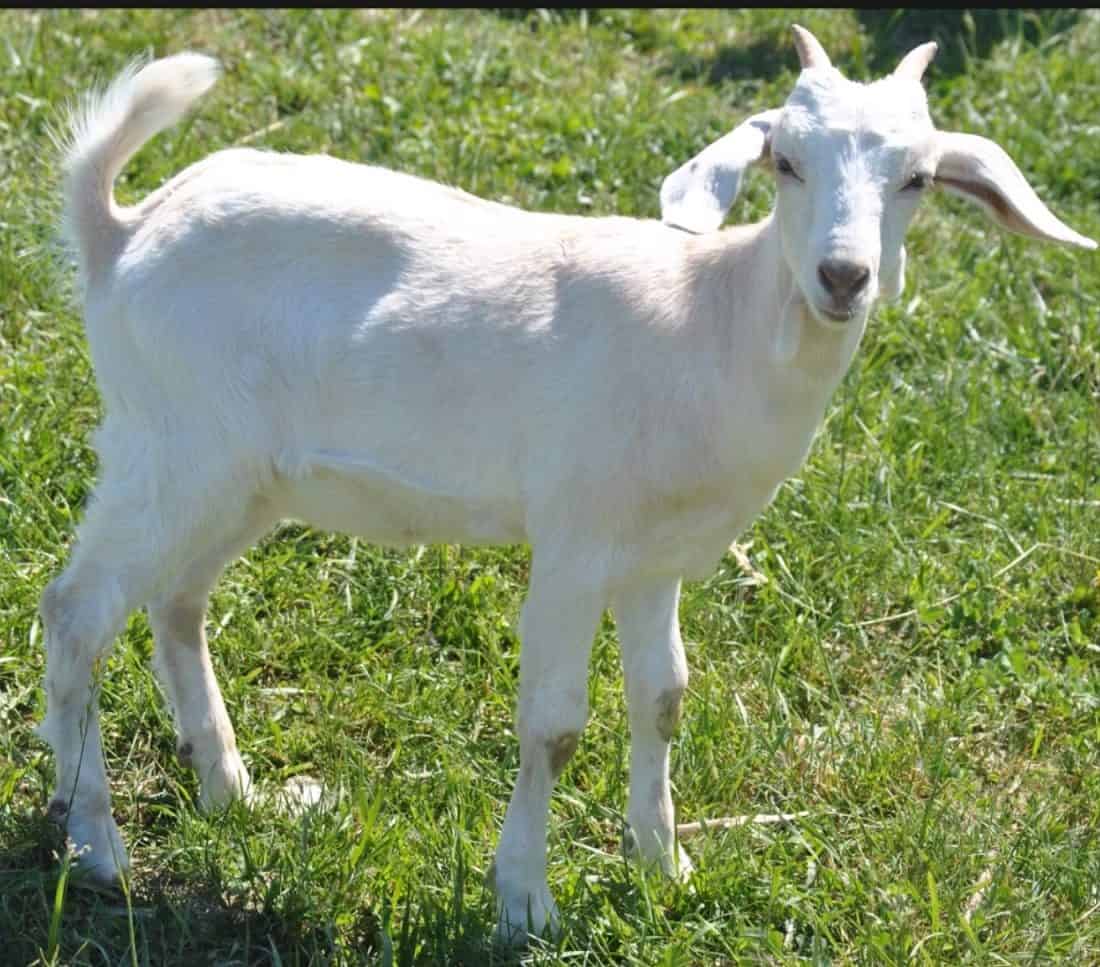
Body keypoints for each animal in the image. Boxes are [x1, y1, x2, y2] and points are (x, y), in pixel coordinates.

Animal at [37, 24, 1094, 944]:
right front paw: (524, 901)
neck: (711, 321)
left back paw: (232, 789)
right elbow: (553, 725)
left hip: (237, 473)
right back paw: (98, 845)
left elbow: (663, 695)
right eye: (786, 163)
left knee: (177, 598)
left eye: (917, 177)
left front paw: (664, 863)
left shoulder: (655, 555)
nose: (843, 276)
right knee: (77, 608)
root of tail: (119, 231)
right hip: (170, 445)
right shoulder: (577, 540)